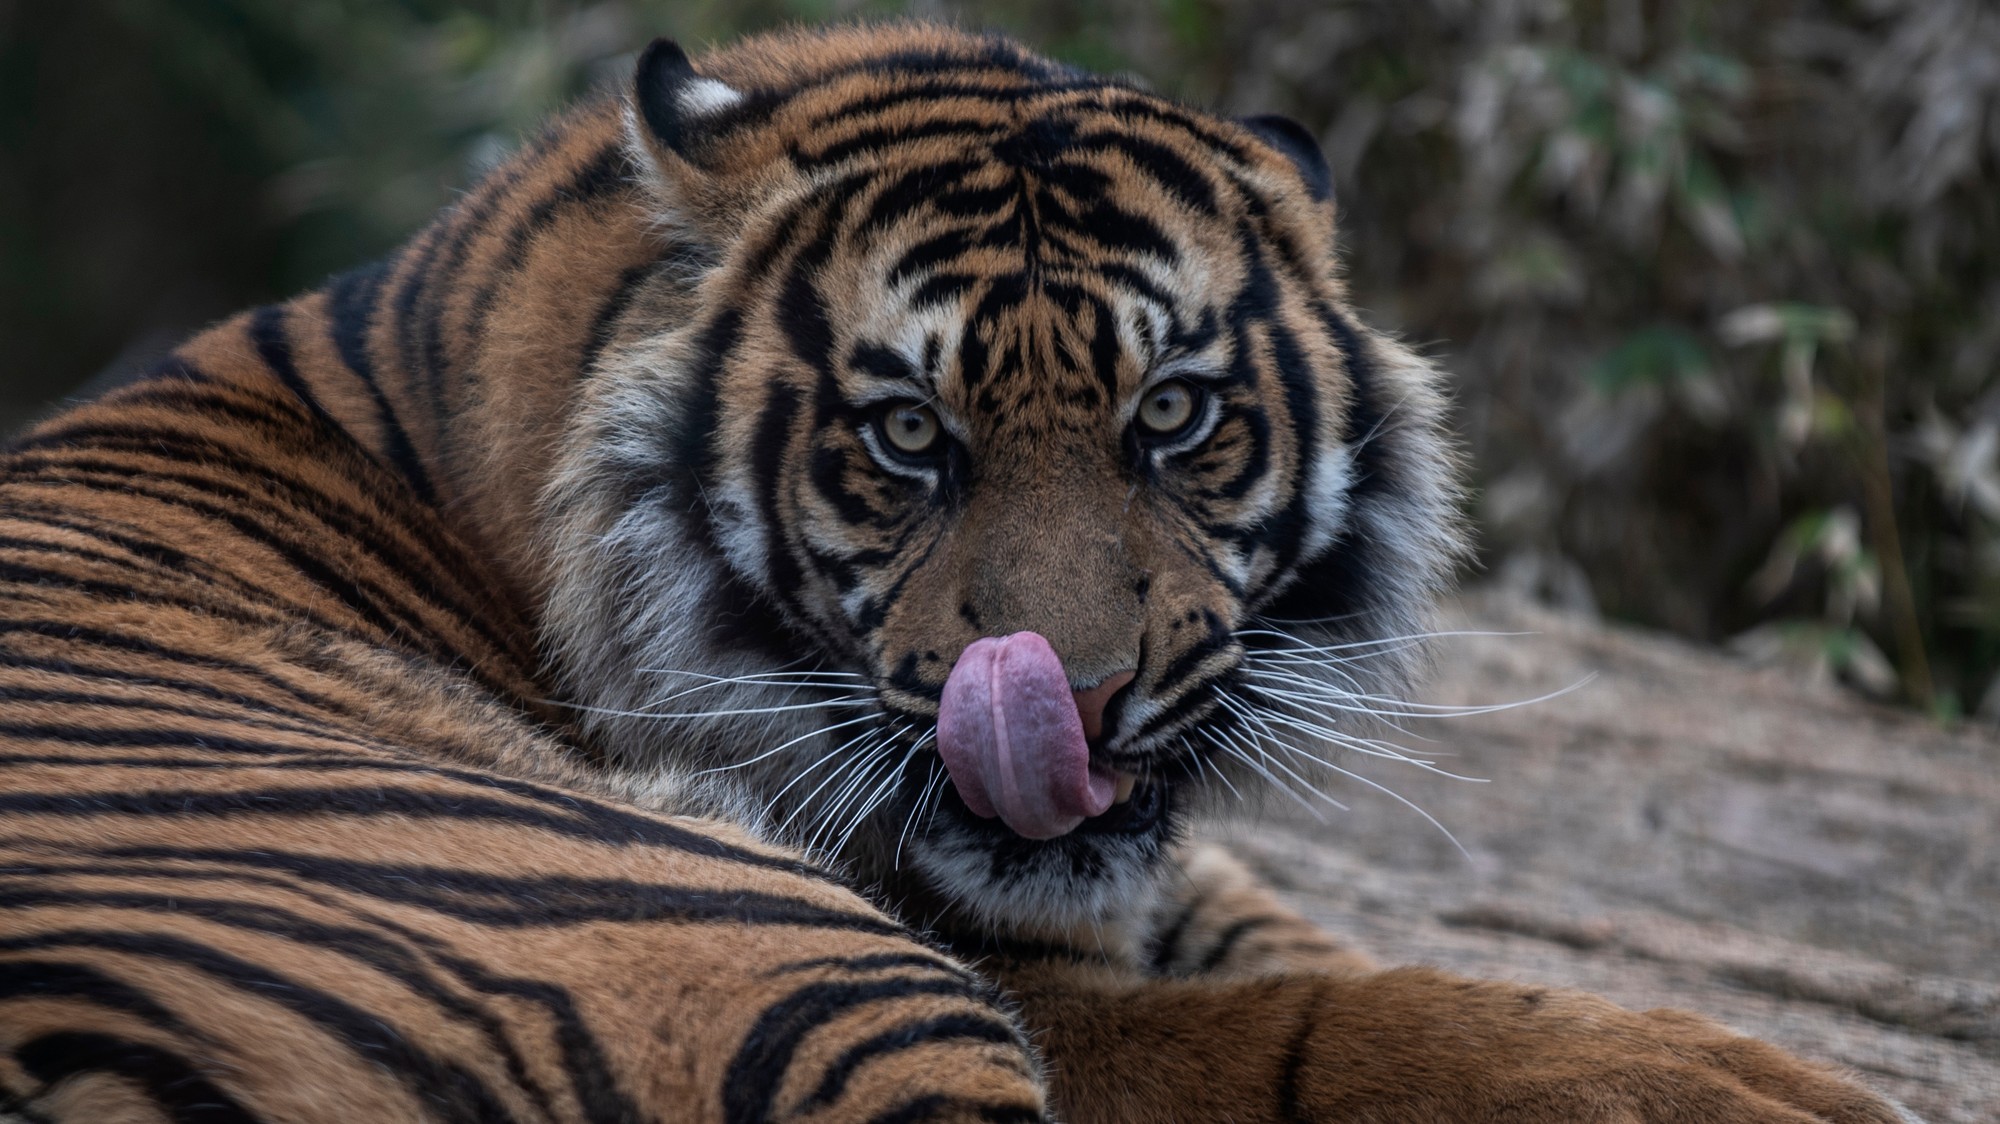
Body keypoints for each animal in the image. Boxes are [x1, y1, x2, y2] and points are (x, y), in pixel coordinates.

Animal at [0, 22, 1918, 1124]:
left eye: (1174, 414)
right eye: (910, 435)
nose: (1076, 700)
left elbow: (1294, 936)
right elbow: (1327, 1023)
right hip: (784, 954)